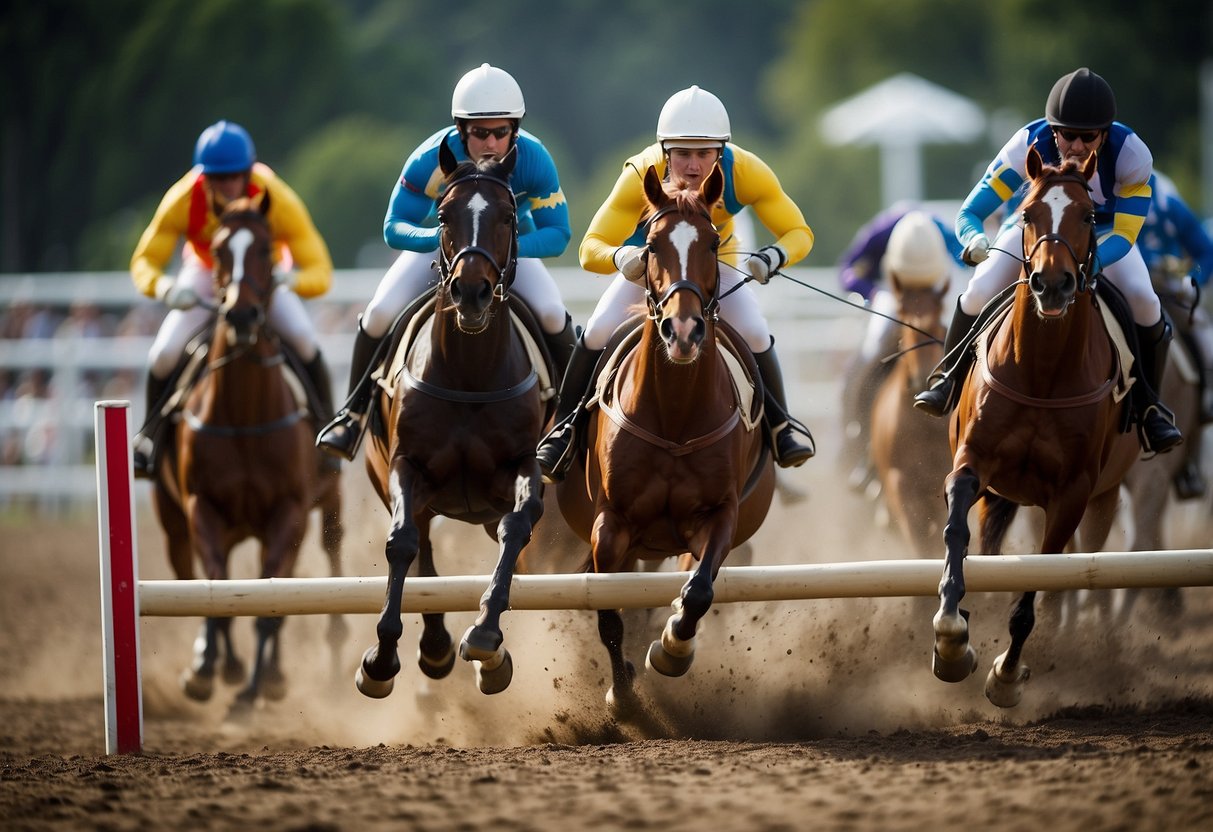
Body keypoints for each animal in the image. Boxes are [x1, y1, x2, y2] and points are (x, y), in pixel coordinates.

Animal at [154, 195, 342, 717]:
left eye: (264, 248)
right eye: (219, 250)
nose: (241, 316)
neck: (242, 414)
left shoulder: (289, 512)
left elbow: (269, 603)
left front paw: (254, 689)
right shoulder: (201, 509)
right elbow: (218, 595)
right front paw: (217, 671)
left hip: (325, 508)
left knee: (321, 561)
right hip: (173, 521)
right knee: (189, 579)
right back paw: (208, 662)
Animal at [354, 148, 545, 703]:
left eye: (508, 216)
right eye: (442, 216)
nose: (472, 292)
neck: (469, 371)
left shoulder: (523, 466)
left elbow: (517, 526)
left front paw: (487, 636)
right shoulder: (406, 466)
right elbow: (403, 543)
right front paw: (382, 658)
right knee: (422, 547)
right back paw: (435, 647)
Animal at [557, 164, 776, 708]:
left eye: (713, 241)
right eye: (652, 245)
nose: (683, 331)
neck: (675, 413)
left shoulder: (718, 517)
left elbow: (696, 591)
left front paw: (672, 650)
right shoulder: (611, 525)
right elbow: (608, 613)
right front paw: (624, 697)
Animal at [931, 146, 1140, 708]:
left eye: (1089, 216)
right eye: (1027, 215)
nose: (1052, 283)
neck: (1041, 371)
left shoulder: (1072, 494)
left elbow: (1038, 582)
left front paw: (1006, 674)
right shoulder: (971, 465)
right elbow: (957, 532)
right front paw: (951, 636)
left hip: (1104, 497)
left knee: (1078, 565)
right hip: (1002, 494)